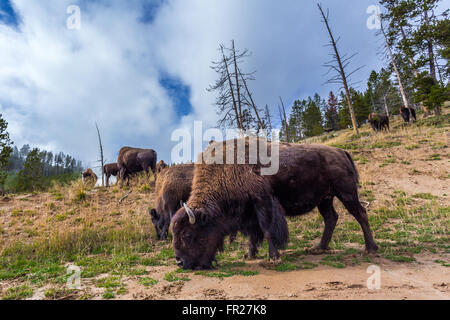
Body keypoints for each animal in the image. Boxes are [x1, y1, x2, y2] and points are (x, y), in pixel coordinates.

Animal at [171, 138, 378, 270]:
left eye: (187, 234)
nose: (180, 263)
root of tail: (341, 152)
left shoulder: (262, 203)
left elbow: (267, 230)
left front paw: (273, 258)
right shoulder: (249, 213)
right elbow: (253, 235)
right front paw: (249, 255)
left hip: (346, 193)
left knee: (360, 214)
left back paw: (371, 249)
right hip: (325, 199)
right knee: (331, 218)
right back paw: (319, 248)